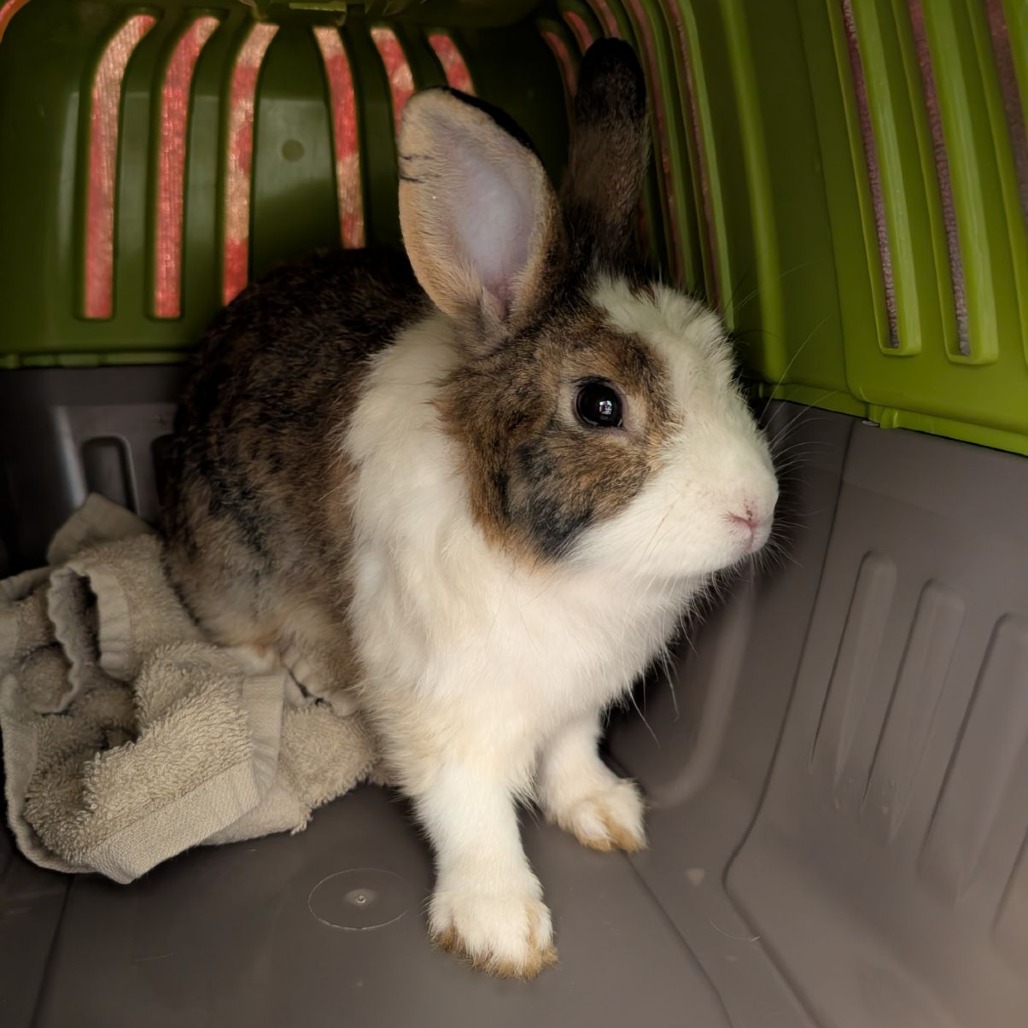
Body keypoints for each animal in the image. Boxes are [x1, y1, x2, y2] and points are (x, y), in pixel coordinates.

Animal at [162, 38, 778, 979]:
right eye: (600, 404)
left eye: (724, 354)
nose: (758, 509)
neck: (560, 568)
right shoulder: (443, 711)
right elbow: (472, 814)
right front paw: (503, 932)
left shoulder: (578, 703)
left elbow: (570, 758)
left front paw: (609, 816)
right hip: (229, 575)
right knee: (257, 647)